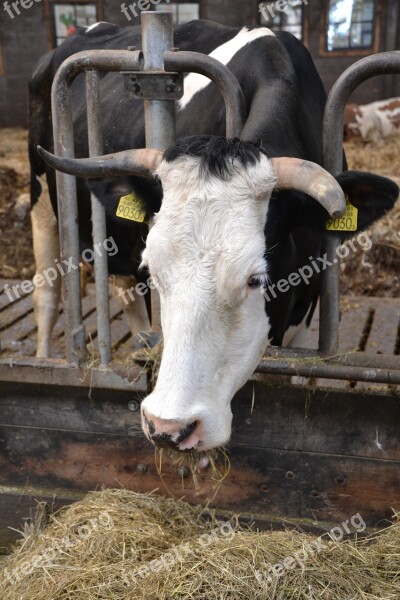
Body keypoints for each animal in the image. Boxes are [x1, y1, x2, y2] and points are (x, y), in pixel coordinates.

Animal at [29, 17, 398, 450]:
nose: (166, 426)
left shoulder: (308, 309)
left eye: (255, 280)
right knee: (47, 292)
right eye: (154, 270)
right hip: (43, 204)